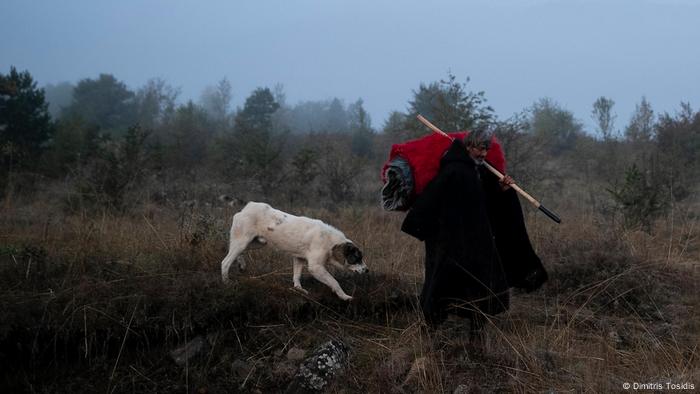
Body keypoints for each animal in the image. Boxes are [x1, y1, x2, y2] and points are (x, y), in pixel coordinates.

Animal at [221, 202, 370, 300]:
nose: (367, 270)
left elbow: (296, 276)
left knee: (235, 252)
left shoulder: (299, 258)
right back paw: (226, 282)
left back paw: (241, 264)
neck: (330, 241)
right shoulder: (316, 267)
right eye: (356, 258)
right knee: (225, 262)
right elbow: (334, 282)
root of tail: (245, 209)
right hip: (243, 242)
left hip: (255, 243)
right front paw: (344, 296)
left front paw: (299, 289)